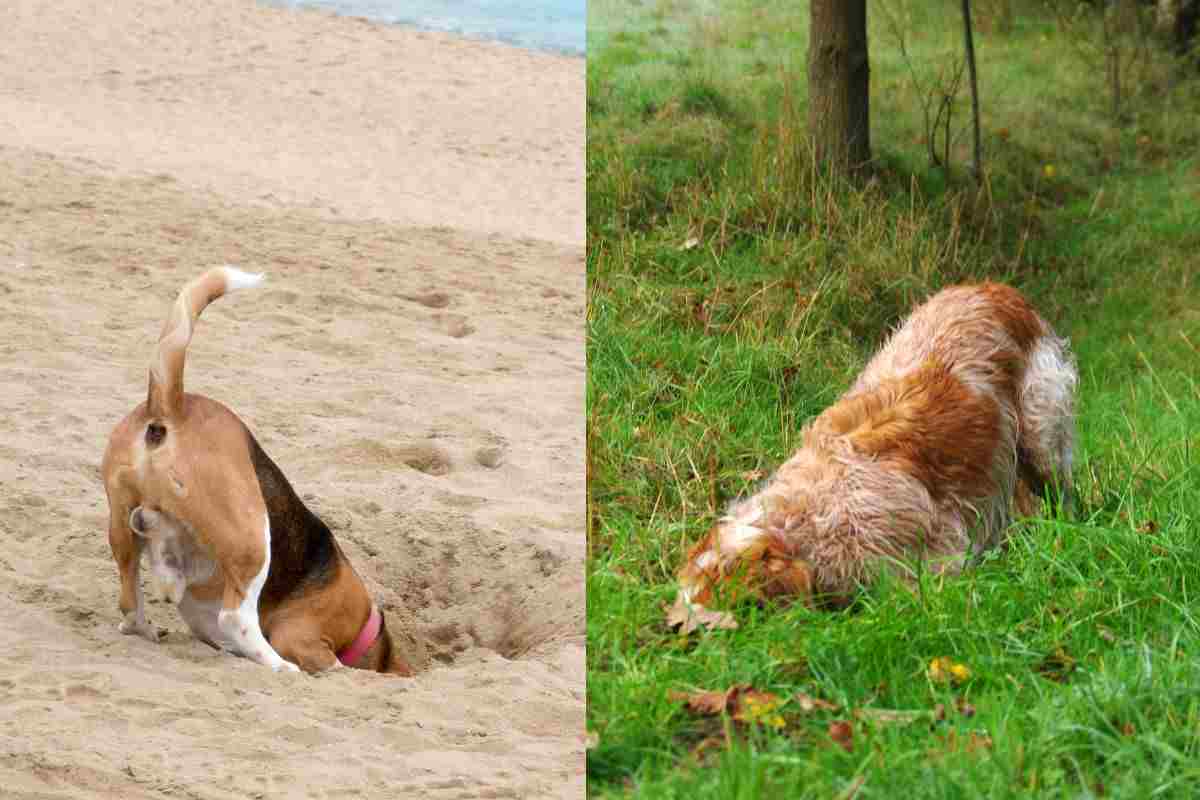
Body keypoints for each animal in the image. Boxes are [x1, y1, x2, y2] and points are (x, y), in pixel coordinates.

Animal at [99, 268, 417, 676]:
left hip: (122, 522)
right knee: (235, 619)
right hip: (252, 536)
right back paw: (280, 666)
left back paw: (144, 626)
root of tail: (171, 408)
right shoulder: (303, 637)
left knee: (129, 595)